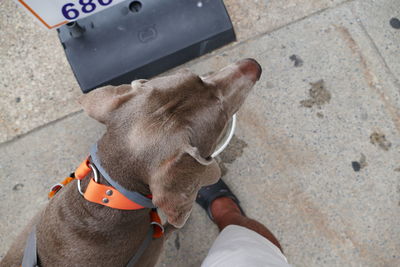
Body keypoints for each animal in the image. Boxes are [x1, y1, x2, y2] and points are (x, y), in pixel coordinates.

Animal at [0, 58, 260, 267]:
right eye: (222, 112)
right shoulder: (152, 249)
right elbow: (170, 228)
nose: (253, 65)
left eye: (196, 76)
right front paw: (180, 225)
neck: (107, 192)